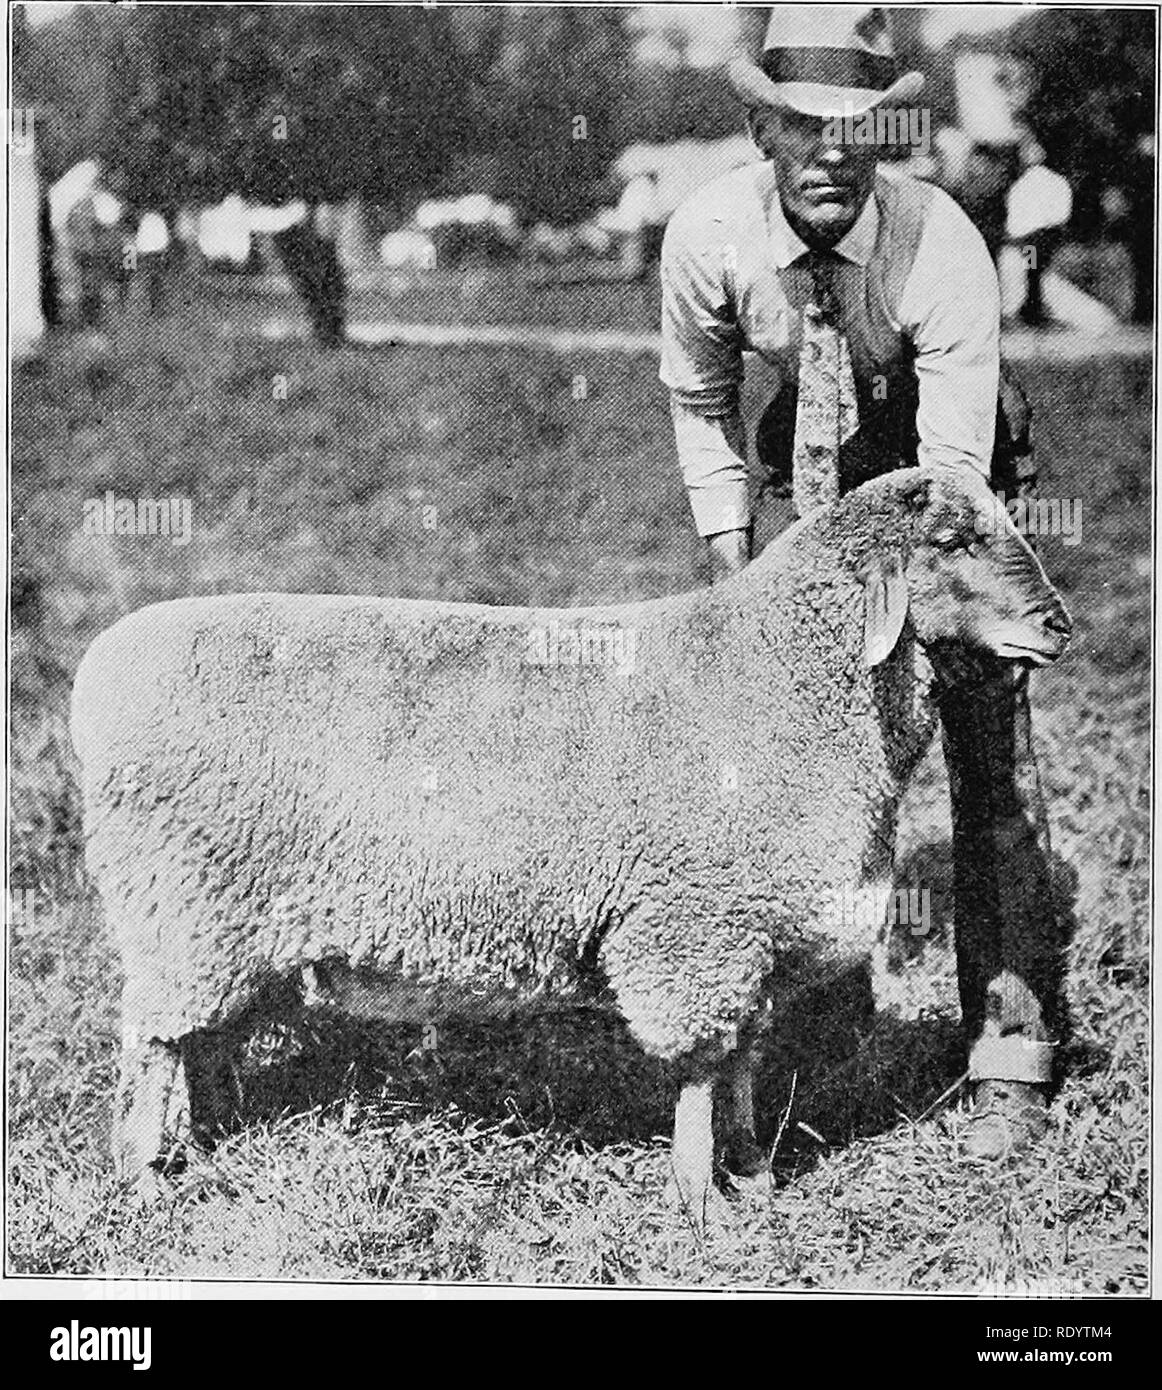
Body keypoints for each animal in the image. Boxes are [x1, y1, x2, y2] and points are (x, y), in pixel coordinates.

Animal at [70, 461, 1073, 1223]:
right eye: (952, 543)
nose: (1058, 625)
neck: (785, 674)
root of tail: (98, 670)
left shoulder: (748, 934)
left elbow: (743, 1058)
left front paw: (751, 1175)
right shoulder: (694, 930)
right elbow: (702, 1068)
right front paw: (699, 1201)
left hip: (228, 920)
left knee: (202, 1040)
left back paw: (216, 1149)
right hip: (180, 907)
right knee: (151, 1044)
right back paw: (146, 1177)